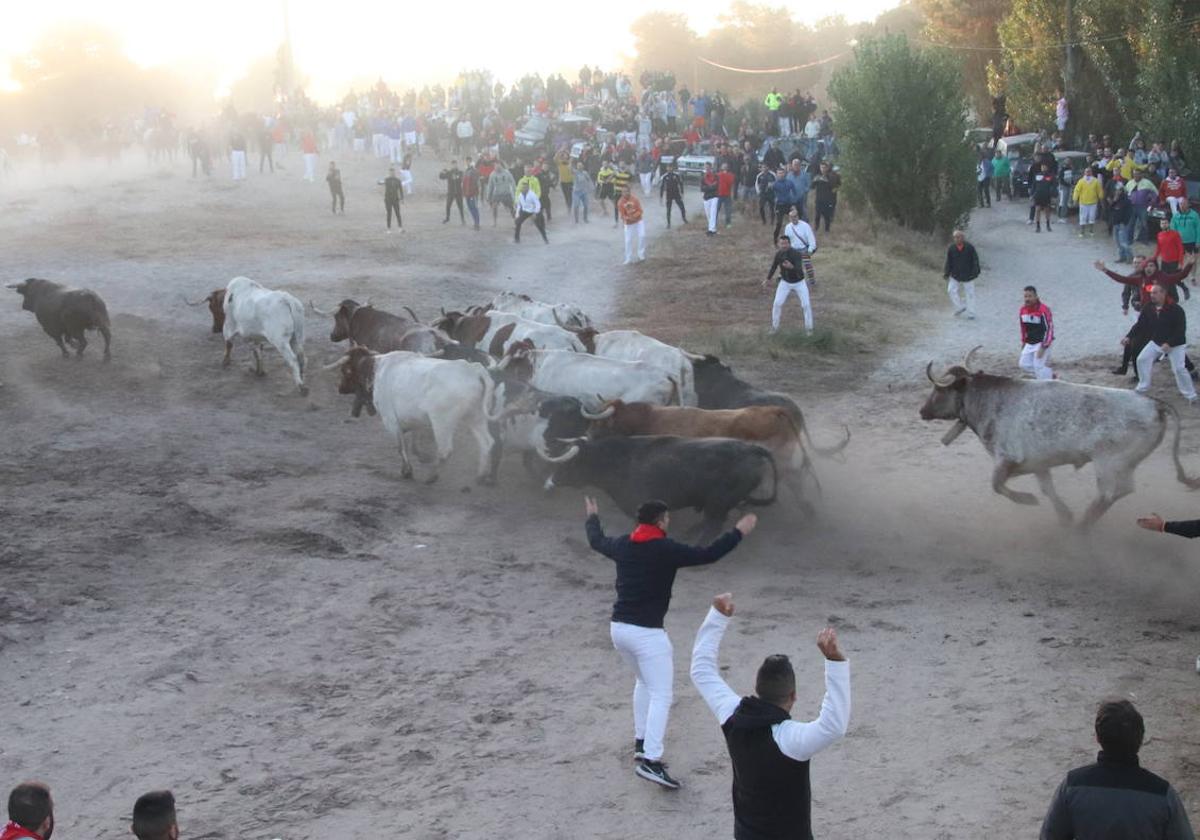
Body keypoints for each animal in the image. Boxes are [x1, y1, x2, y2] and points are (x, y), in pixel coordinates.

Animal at [324, 345, 501, 482]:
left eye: (345, 371)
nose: (340, 388)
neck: (377, 369)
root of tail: (473, 369)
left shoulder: (390, 420)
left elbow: (400, 447)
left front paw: (407, 471)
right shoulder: (413, 418)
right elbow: (413, 436)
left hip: (442, 421)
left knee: (445, 450)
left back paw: (432, 476)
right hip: (475, 416)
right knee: (486, 442)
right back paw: (481, 475)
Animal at [542, 432, 777, 537]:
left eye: (571, 463)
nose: (551, 481)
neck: (618, 461)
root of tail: (752, 449)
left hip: (718, 503)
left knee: (712, 525)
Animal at [921, 345, 1195, 525]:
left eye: (939, 390)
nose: (922, 411)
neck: (989, 399)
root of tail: (1154, 404)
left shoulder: (1006, 458)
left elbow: (997, 485)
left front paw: (1027, 500)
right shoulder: (1038, 464)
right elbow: (1047, 489)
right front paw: (1064, 515)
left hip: (1108, 462)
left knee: (1110, 493)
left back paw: (1083, 525)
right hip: (1124, 464)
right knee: (1122, 490)